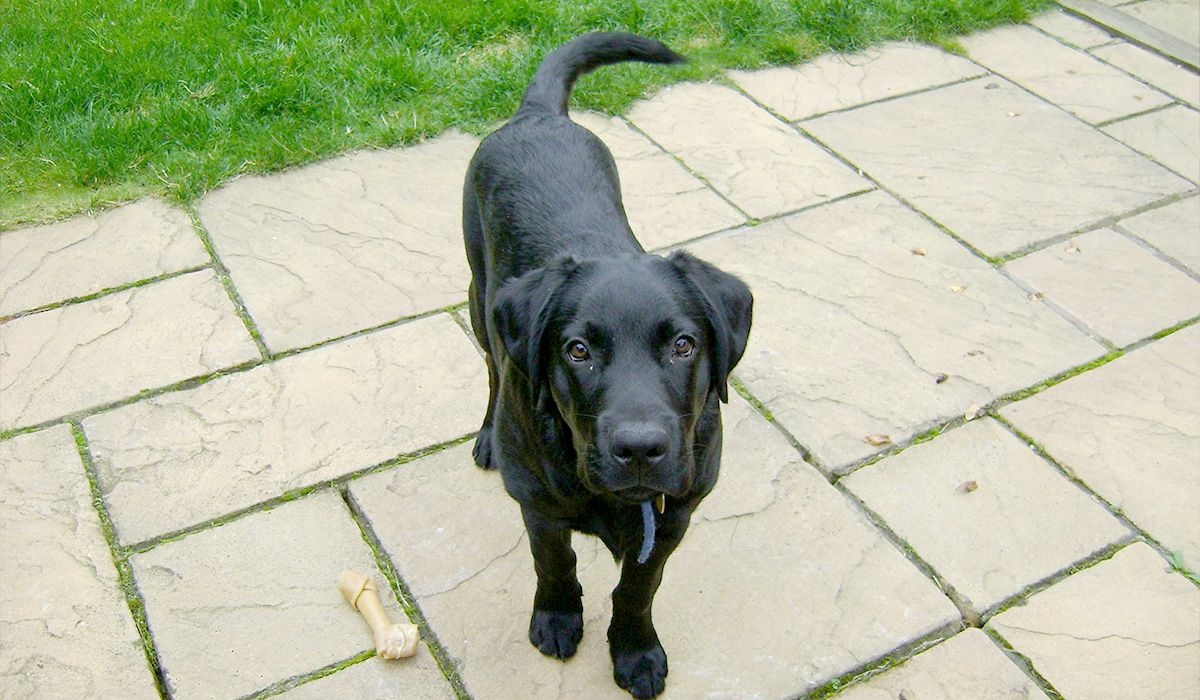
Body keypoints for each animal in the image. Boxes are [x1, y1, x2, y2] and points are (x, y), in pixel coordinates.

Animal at [458, 34, 748, 700]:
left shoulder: (675, 517)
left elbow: (638, 589)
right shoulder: (537, 503)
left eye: (684, 345)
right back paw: (486, 435)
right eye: (578, 351)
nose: (639, 448)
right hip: (479, 292)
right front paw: (558, 618)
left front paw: (636, 651)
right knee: (491, 365)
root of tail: (539, 115)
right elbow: (555, 562)